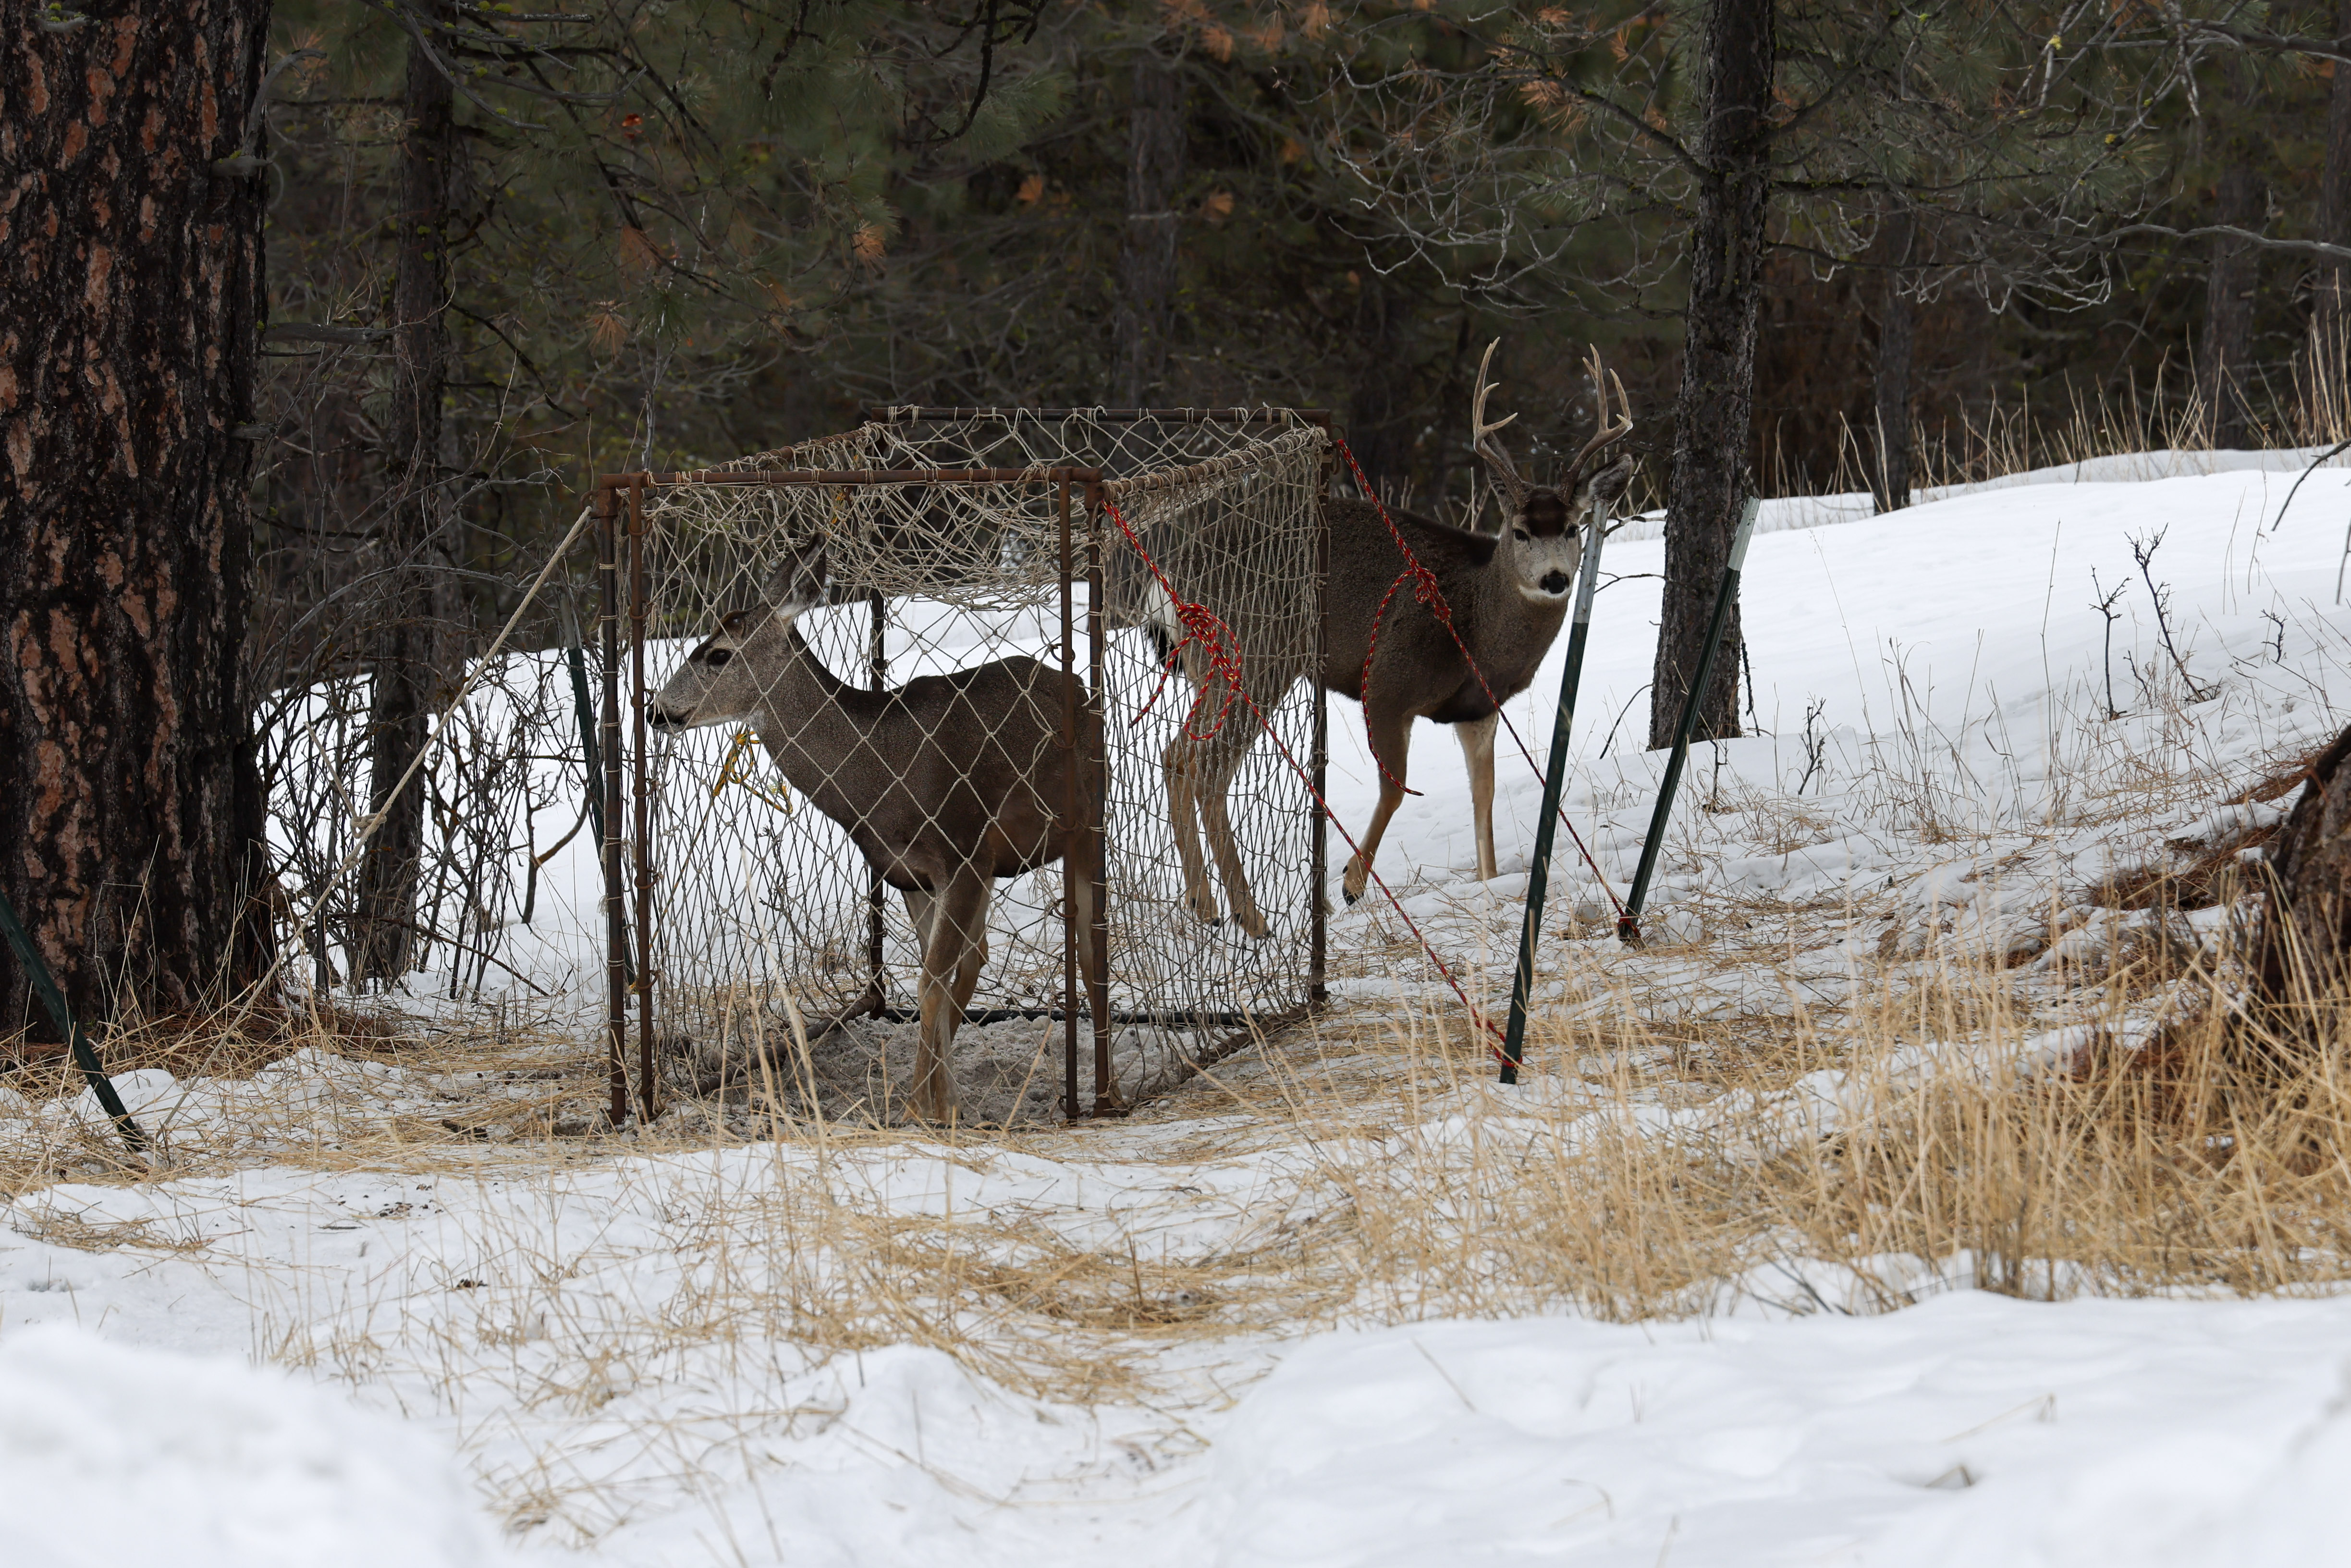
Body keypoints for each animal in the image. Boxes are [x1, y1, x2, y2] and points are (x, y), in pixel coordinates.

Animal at [644, 543, 1100, 1128]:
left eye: (719, 654)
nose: (656, 711)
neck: (882, 776)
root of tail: (1076, 685)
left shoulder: (962, 853)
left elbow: (930, 984)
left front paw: (924, 1107)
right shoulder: (911, 876)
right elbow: (935, 983)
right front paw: (934, 1104)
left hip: (1086, 820)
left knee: (1086, 948)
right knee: (975, 958)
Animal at [1161, 345, 1636, 931]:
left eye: (1573, 527)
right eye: (1520, 531)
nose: (1554, 579)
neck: (1475, 628)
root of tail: (1176, 567)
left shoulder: (1479, 710)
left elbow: (1484, 799)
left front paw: (1488, 883)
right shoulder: (1388, 683)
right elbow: (1395, 788)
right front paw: (1351, 883)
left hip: (1213, 663)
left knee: (1176, 755)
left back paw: (1203, 904)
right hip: (1258, 651)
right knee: (1207, 766)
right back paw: (1248, 915)